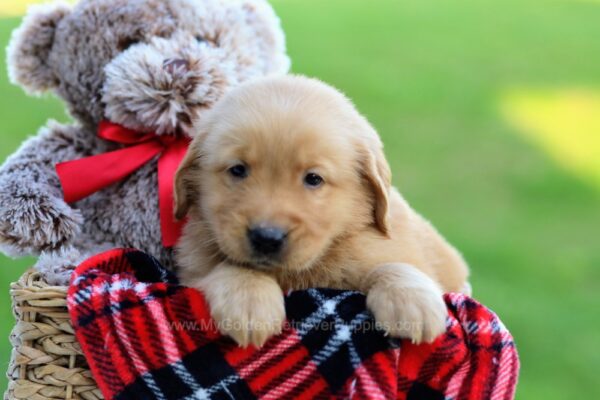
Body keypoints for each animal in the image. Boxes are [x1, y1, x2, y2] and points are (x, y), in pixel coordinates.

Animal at [173, 74, 468, 346]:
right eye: (237, 170)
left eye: (313, 178)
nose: (266, 238)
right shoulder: (194, 264)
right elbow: (231, 265)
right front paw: (248, 300)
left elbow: (392, 264)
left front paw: (411, 302)